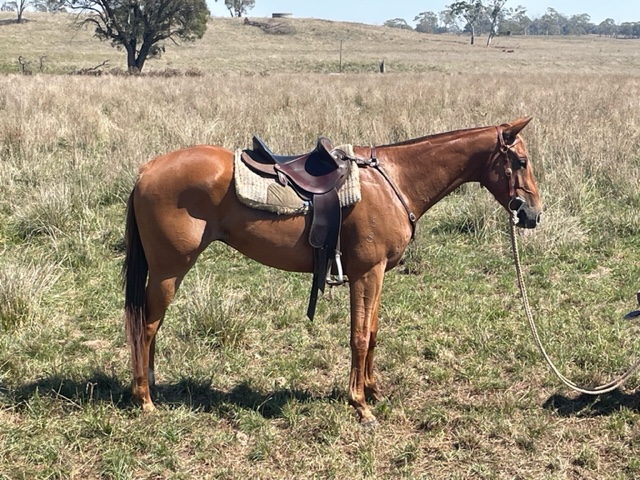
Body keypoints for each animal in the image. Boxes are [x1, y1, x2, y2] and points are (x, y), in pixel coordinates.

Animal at [123, 117, 543, 425]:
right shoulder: (367, 273)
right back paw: (144, 397)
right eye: (520, 162)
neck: (394, 181)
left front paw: (373, 390)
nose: (533, 214)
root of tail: (147, 170)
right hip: (169, 270)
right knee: (146, 326)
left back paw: (151, 386)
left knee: (150, 326)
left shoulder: (377, 274)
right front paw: (360, 403)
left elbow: (372, 333)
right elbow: (358, 336)